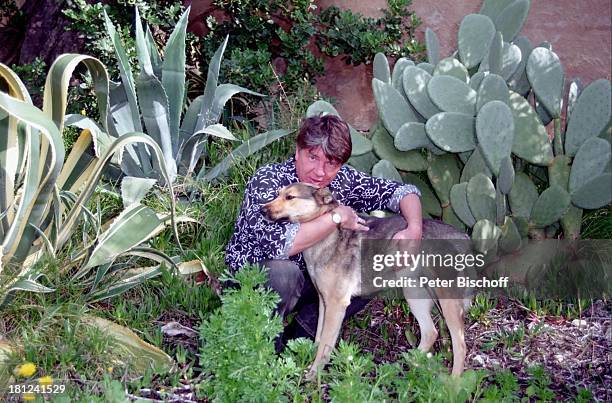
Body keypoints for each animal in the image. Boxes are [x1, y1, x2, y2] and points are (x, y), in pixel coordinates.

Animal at [264, 185, 474, 380]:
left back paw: (452, 384)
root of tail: (463, 237)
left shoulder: (336, 305)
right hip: (414, 294)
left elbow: (324, 343)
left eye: (290, 197)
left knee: (460, 344)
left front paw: (314, 374)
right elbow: (318, 338)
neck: (327, 235)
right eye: (278, 193)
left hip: (446, 301)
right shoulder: (323, 302)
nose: (261, 209)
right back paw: (404, 367)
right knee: (431, 332)